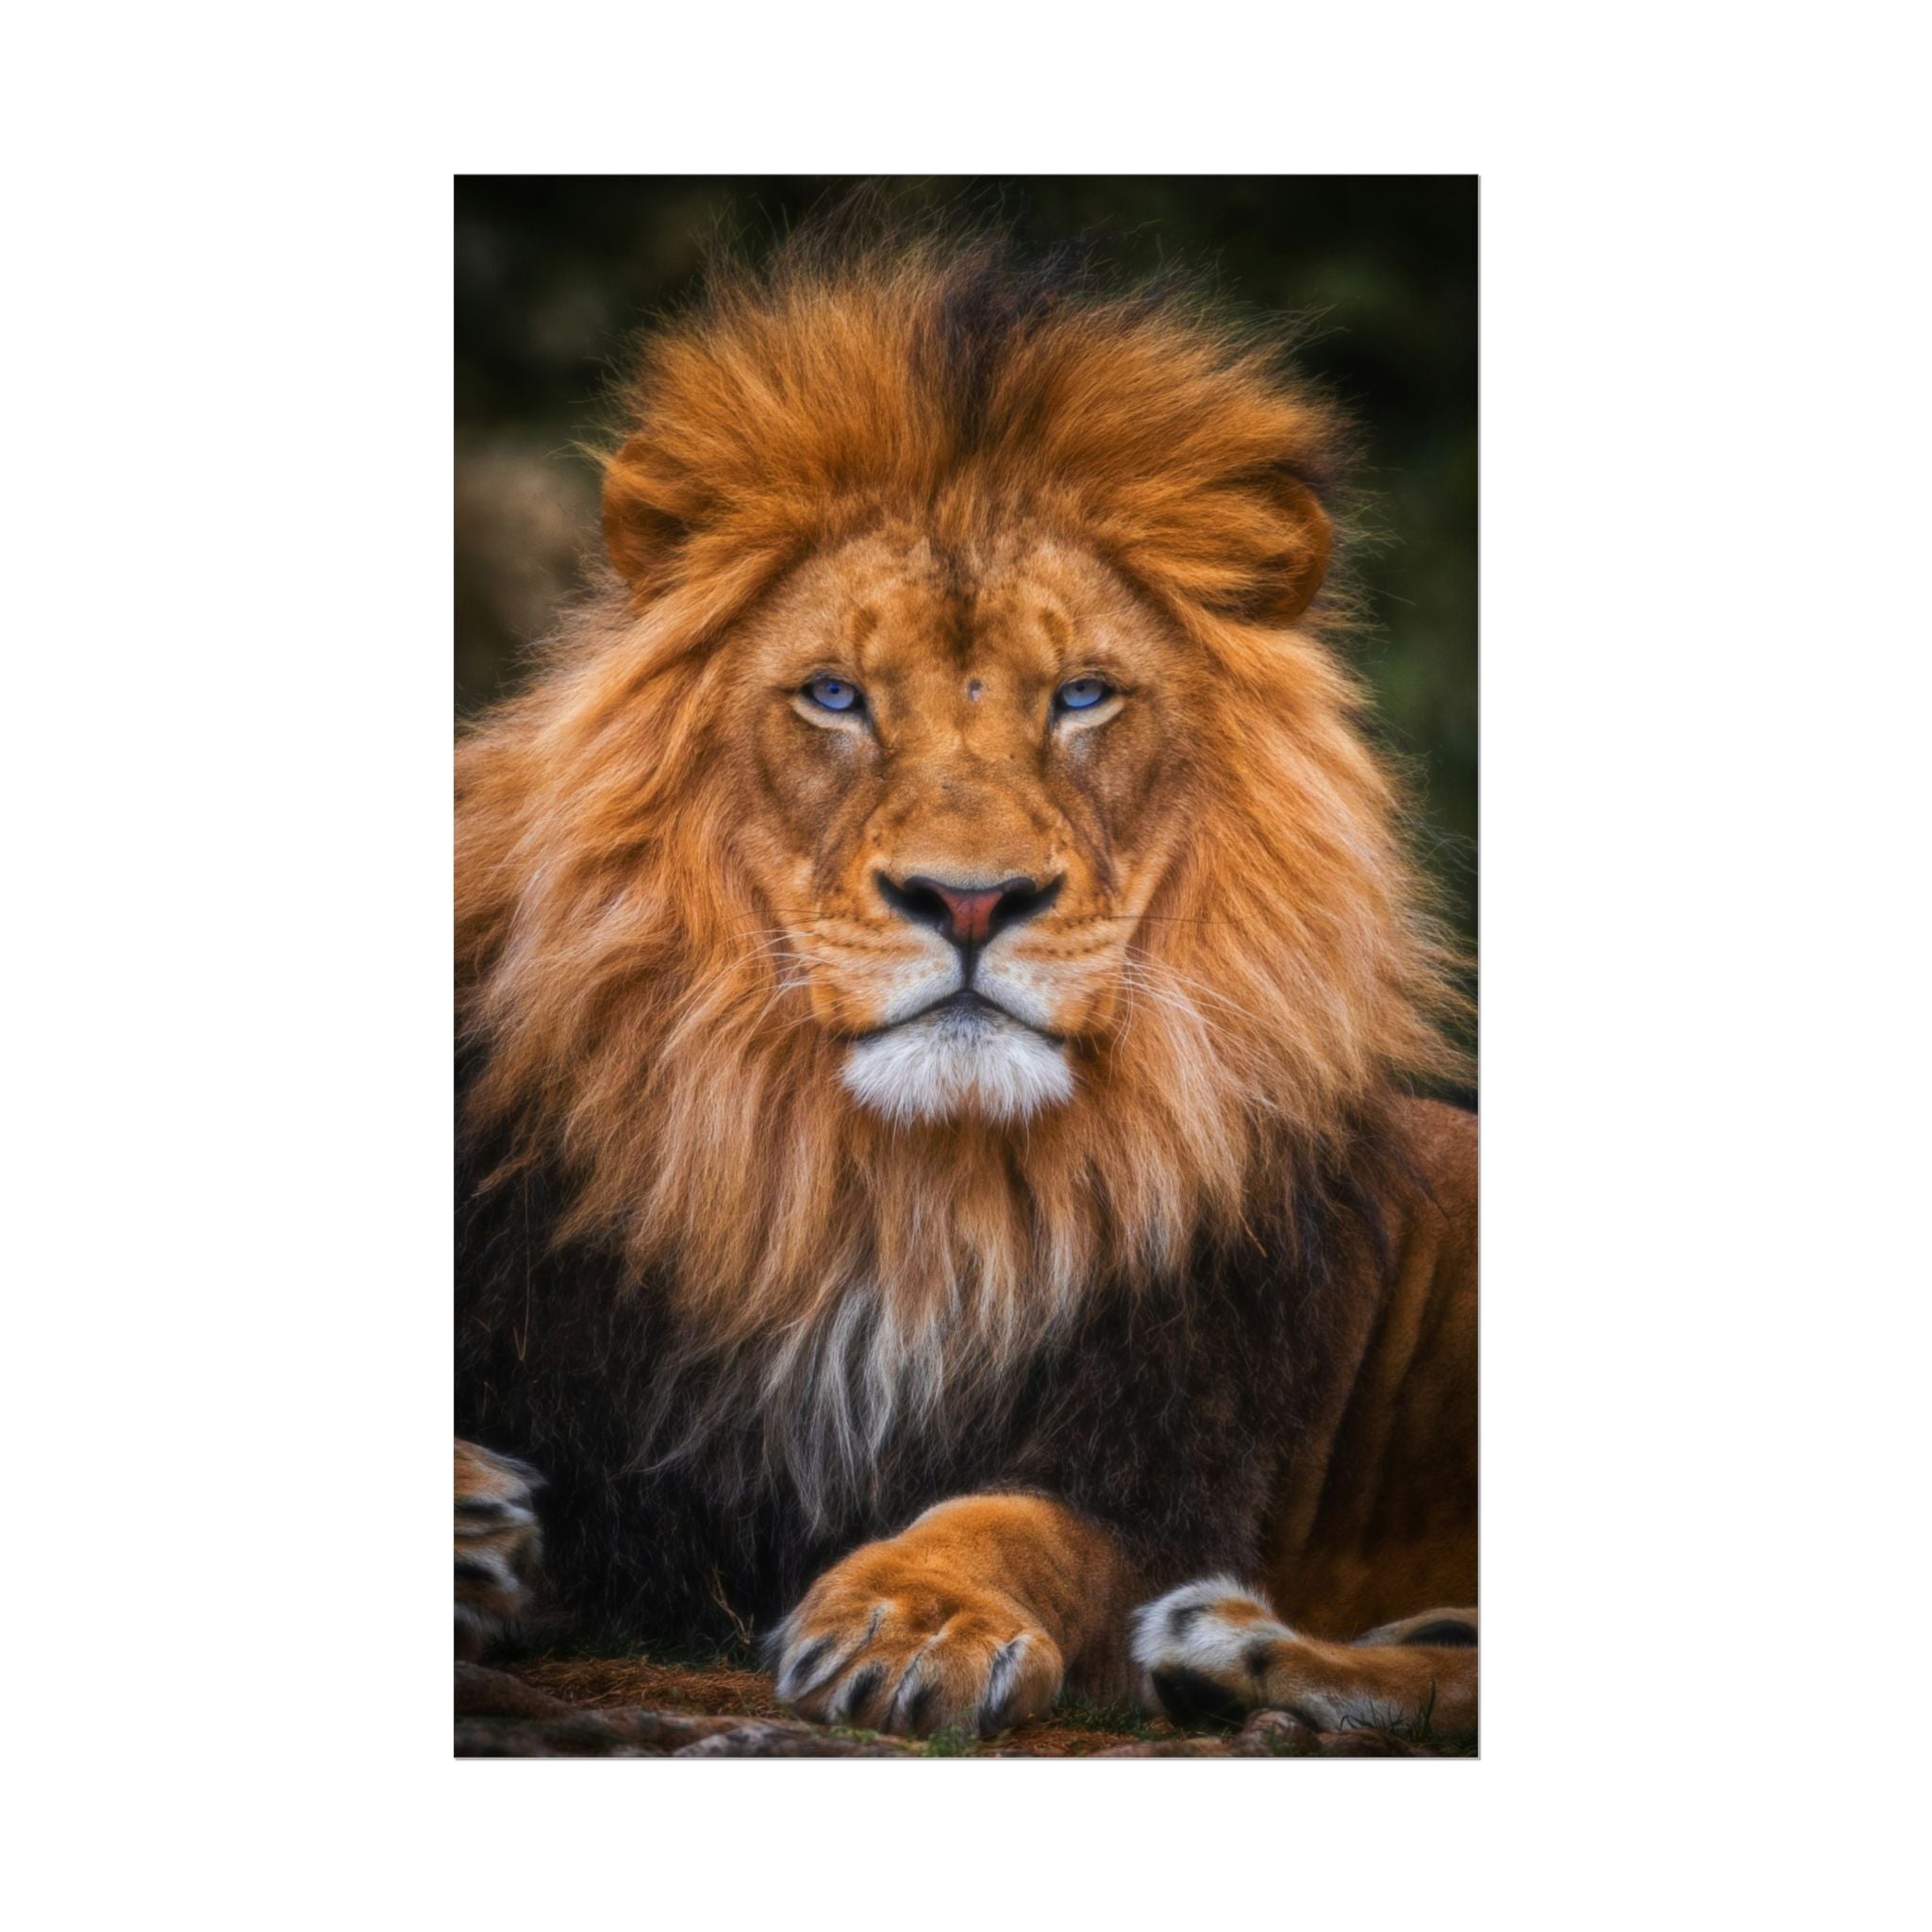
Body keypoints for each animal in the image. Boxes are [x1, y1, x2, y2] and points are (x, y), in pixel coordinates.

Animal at [454, 227, 1477, 1744]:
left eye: (1083, 696)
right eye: (833, 695)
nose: (972, 900)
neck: (896, 1197)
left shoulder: (1166, 1460)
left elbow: (1020, 1523)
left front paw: (912, 1616)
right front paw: (473, 1521)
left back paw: (1234, 1646)